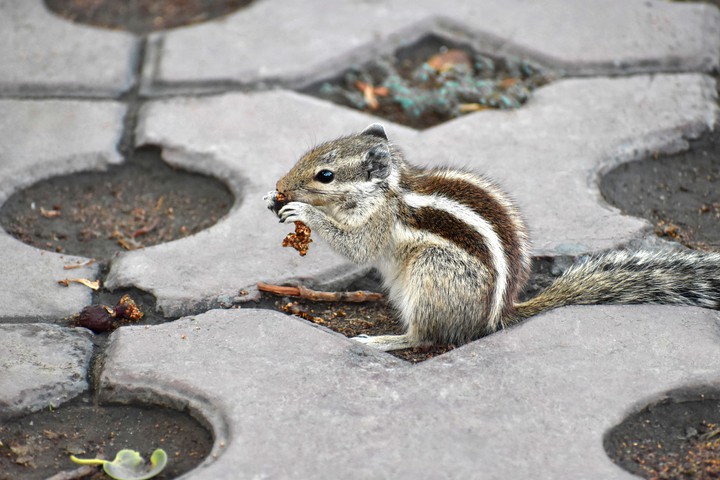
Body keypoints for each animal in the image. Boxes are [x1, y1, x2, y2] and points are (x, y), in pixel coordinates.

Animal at [265, 124, 720, 351]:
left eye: (325, 175)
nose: (281, 185)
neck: (391, 187)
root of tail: (499, 315)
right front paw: (273, 200)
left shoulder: (378, 221)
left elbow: (357, 245)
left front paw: (304, 211)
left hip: (432, 274)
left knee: (424, 337)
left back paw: (380, 340)